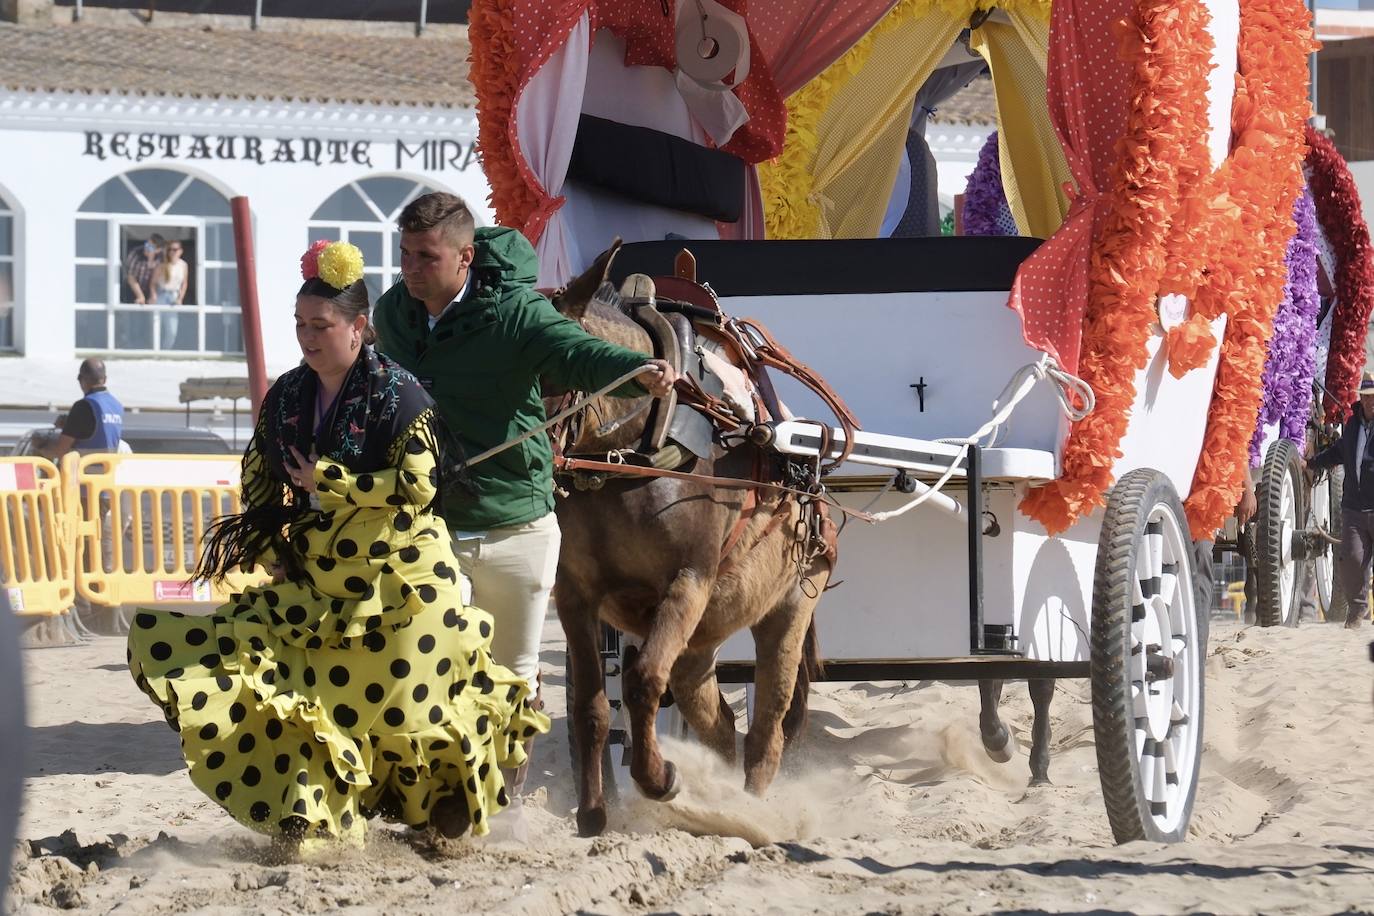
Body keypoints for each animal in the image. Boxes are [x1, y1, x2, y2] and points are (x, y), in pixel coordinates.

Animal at [544, 248, 824, 840]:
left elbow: (642, 681)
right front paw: (592, 812)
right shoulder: (574, 595)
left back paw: (751, 808)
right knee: (717, 720)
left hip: (790, 606)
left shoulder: (688, 582)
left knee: (767, 725)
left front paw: (659, 779)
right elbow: (591, 706)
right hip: (700, 643)